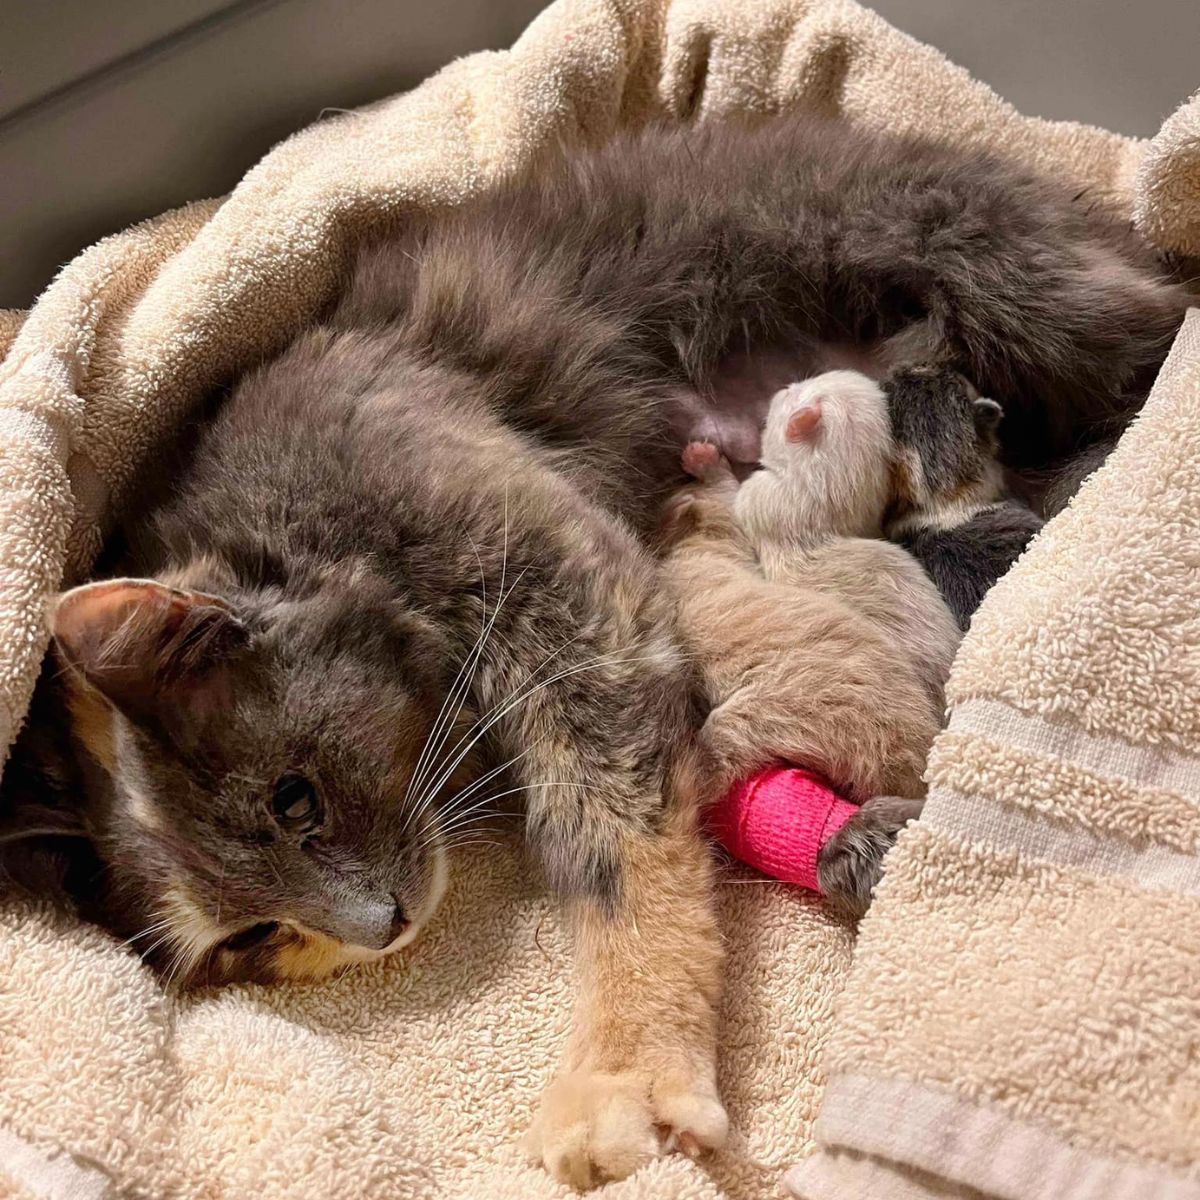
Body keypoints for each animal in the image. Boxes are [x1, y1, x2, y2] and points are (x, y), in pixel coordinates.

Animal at [662, 369, 960, 912]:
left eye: (790, 390)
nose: (780, 386)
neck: (832, 512)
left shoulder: (753, 503)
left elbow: (730, 497)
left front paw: (705, 460)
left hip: (772, 710)